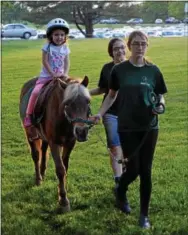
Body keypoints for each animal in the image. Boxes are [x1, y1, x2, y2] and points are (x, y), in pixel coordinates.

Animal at [19, 76, 92, 212]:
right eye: (67, 103)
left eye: (87, 101)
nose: (82, 132)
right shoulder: (54, 143)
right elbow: (60, 169)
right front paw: (63, 201)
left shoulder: (70, 143)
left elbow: (65, 167)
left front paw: (62, 191)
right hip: (29, 134)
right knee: (36, 155)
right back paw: (38, 179)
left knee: (43, 151)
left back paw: (42, 173)